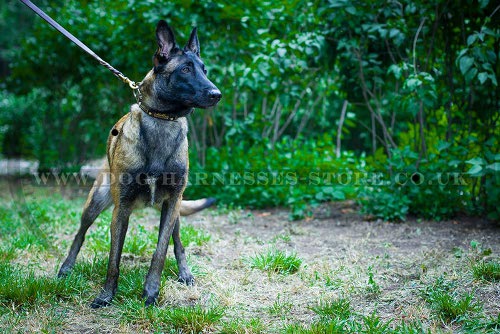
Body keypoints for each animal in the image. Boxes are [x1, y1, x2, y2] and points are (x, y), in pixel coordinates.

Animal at [57, 20, 221, 308]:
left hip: (174, 212)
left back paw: (185, 273)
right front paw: (106, 295)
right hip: (96, 202)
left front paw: (151, 293)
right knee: (80, 233)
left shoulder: (172, 203)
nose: (217, 94)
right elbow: (114, 259)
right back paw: (67, 267)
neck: (162, 119)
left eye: (204, 70)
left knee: (178, 242)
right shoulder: (121, 208)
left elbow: (160, 252)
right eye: (185, 69)